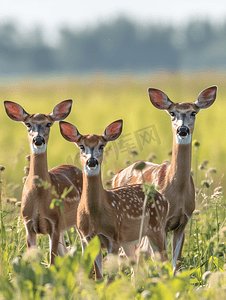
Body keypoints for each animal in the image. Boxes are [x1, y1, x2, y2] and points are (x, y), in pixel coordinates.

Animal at [3, 99, 83, 264]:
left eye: (48, 124)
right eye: (28, 124)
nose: (38, 139)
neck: (39, 195)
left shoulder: (54, 223)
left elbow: (52, 261)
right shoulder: (28, 224)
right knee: (66, 252)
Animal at [59, 119, 169, 278]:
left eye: (101, 145)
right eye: (81, 146)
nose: (92, 162)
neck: (95, 215)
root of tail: (164, 199)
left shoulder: (113, 237)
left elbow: (111, 275)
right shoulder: (89, 239)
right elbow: (99, 275)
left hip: (157, 228)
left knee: (164, 262)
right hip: (130, 239)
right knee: (137, 266)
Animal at [112, 86, 218, 274]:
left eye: (193, 112)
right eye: (172, 113)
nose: (182, 130)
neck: (177, 193)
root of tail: (117, 175)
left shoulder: (183, 222)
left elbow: (176, 263)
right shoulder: (160, 223)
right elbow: (160, 260)